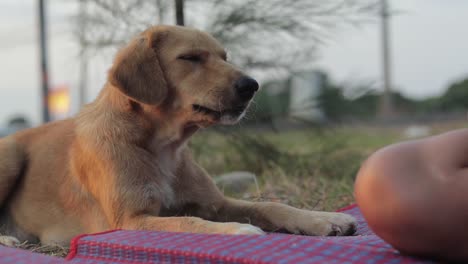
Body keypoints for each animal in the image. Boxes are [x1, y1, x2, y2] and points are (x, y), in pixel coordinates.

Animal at [0, 25, 354, 246]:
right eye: (190, 58)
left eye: (224, 57)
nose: (252, 85)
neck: (163, 146)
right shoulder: (131, 220)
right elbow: (188, 221)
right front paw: (237, 230)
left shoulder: (217, 203)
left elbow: (272, 206)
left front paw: (323, 219)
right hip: (10, 155)